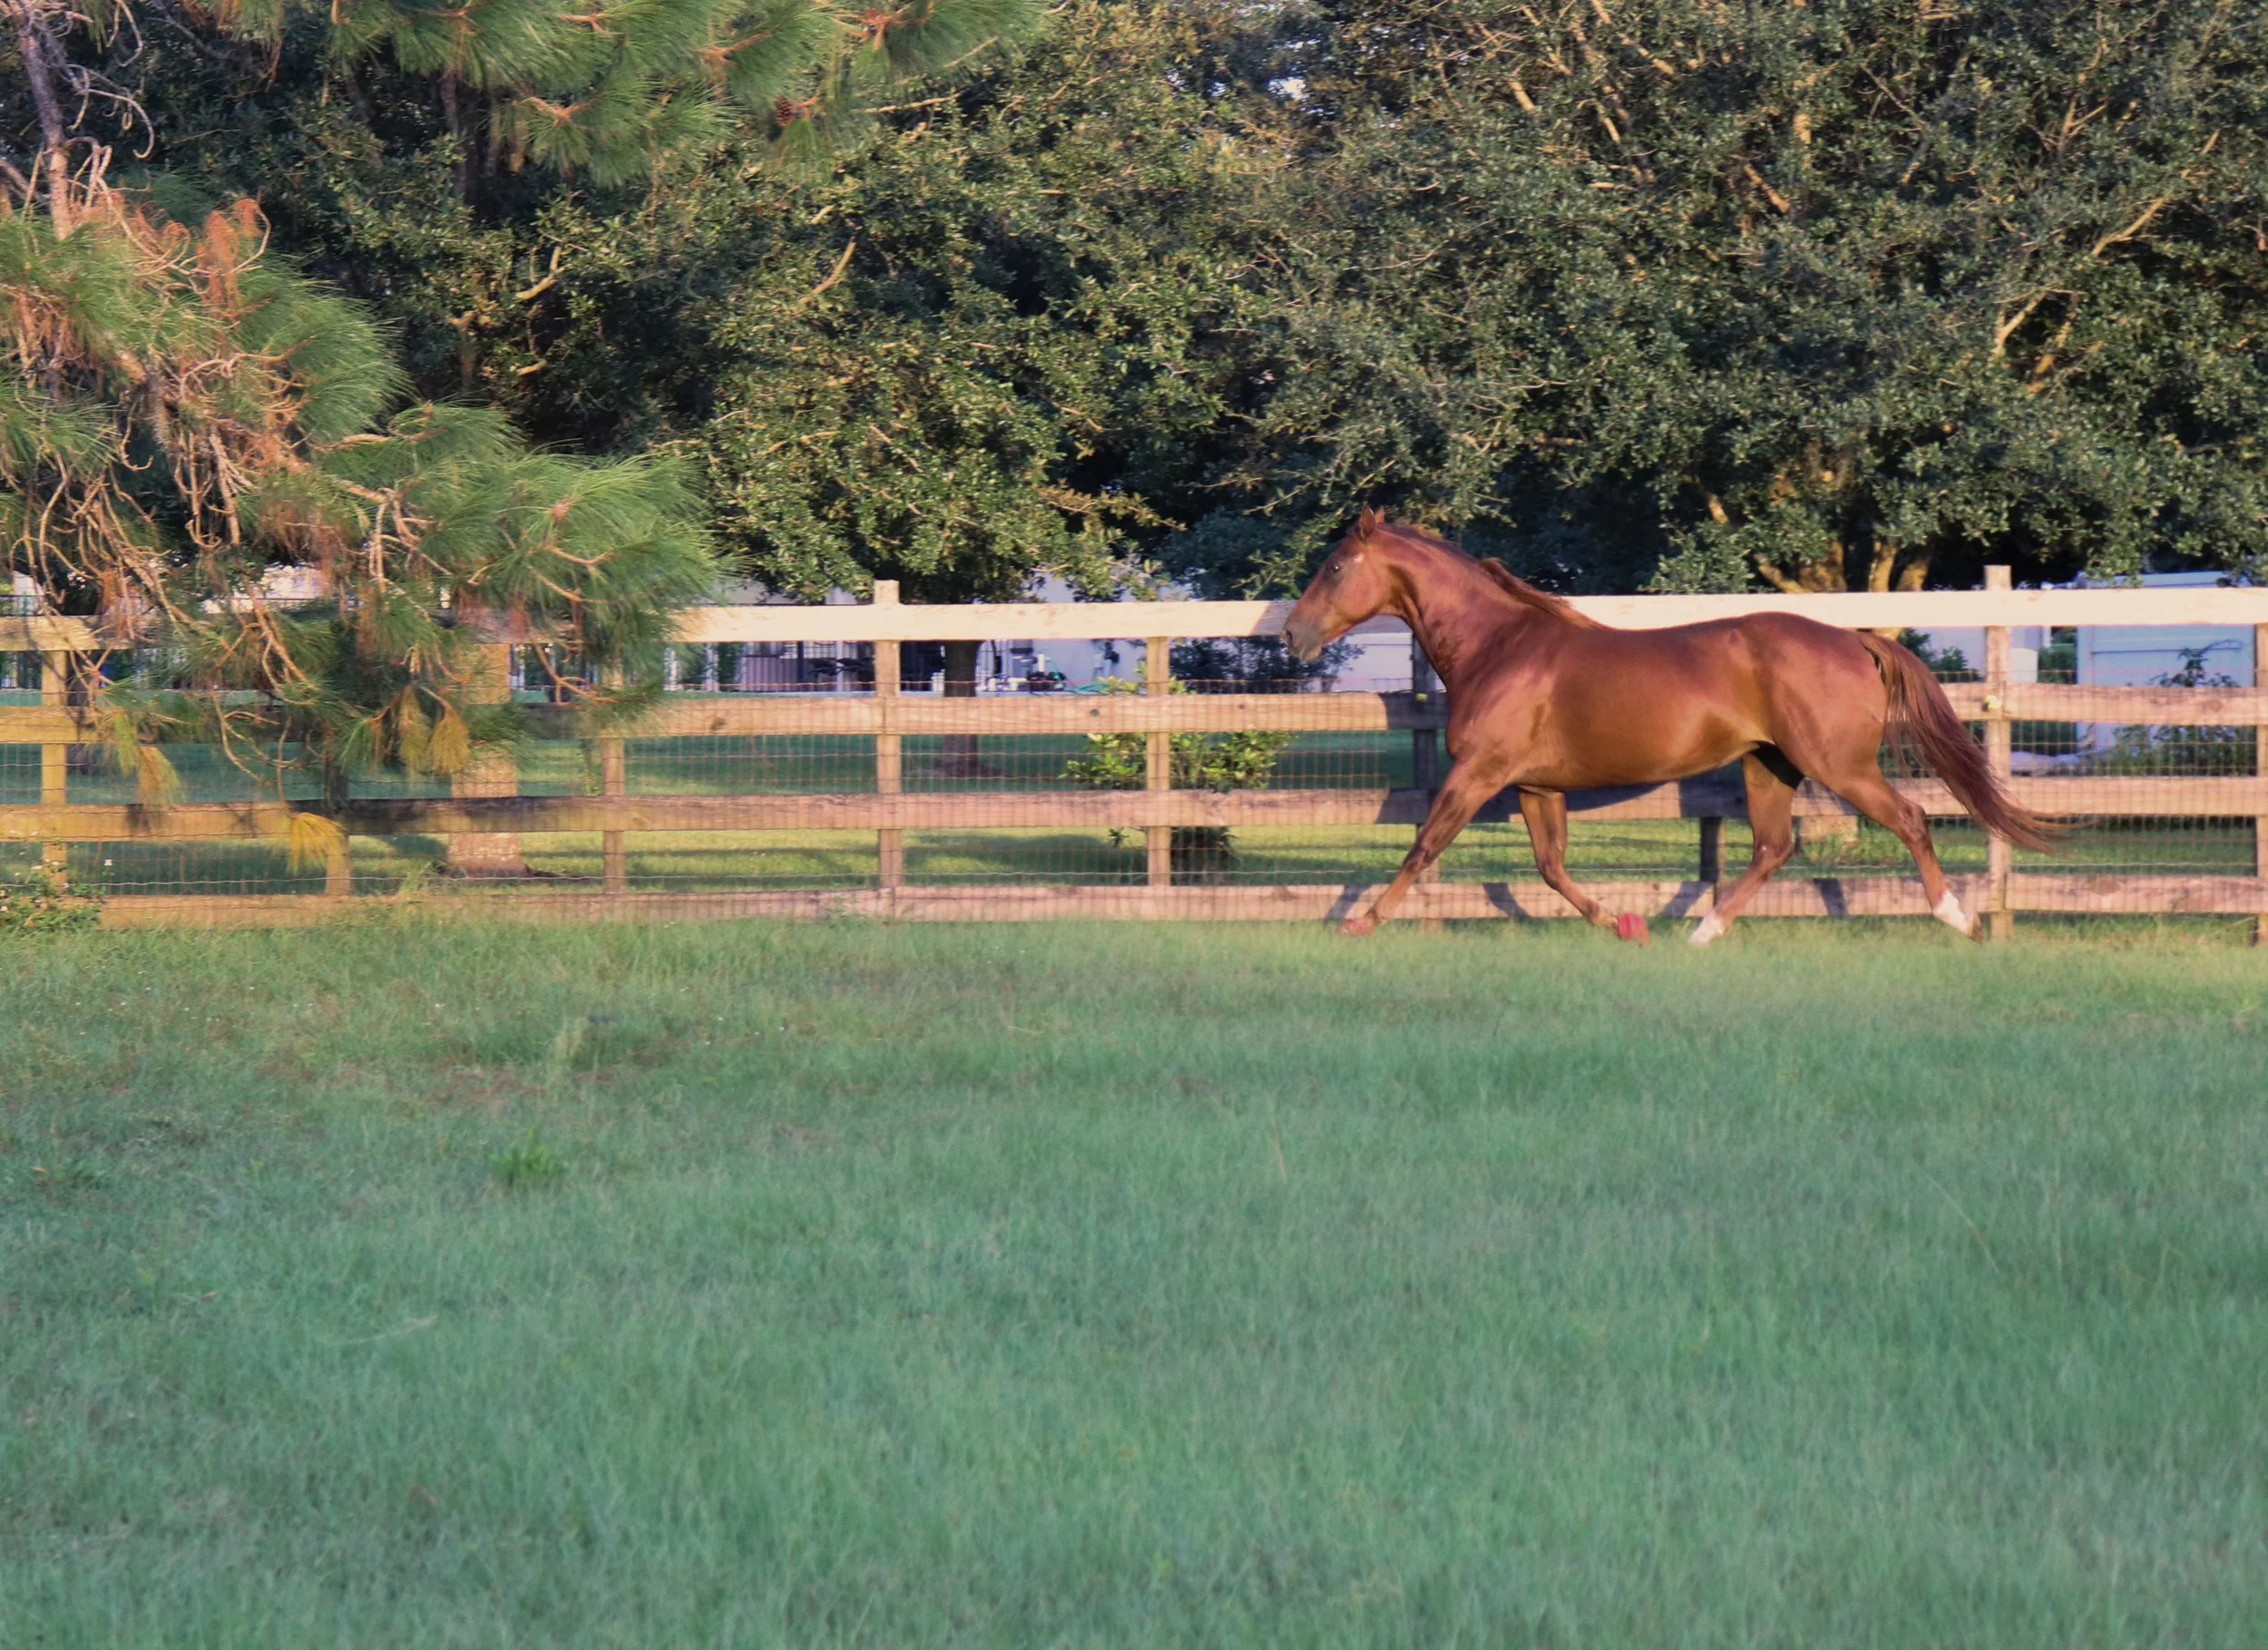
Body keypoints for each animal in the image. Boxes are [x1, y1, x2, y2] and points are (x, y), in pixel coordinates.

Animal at [1282, 510, 2055, 945]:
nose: (1292, 634)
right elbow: (1552, 867)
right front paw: (1623, 925)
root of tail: (1854, 639)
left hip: (1839, 765)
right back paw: (1702, 930)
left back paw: (1960, 918)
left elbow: (1423, 846)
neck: (1498, 646)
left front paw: (1359, 921)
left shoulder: (1479, 773)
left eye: (1336, 565)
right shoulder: (1537, 786)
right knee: (1773, 846)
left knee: (1911, 818)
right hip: (1768, 764)